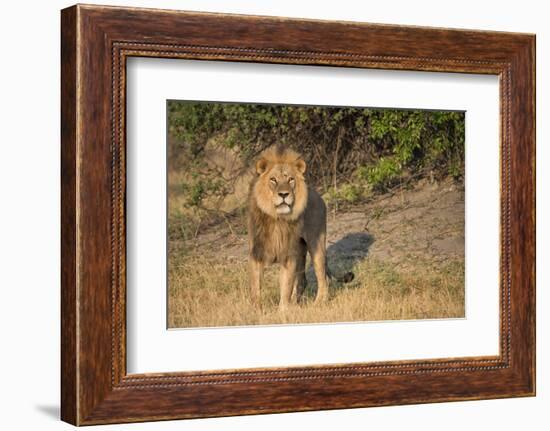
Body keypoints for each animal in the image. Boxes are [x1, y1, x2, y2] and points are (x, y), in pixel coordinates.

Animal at [249, 147, 354, 308]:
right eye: (273, 180)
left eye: (290, 179)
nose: (284, 194)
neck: (277, 218)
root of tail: (317, 194)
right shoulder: (257, 252)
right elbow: (256, 287)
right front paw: (256, 310)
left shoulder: (288, 255)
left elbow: (285, 287)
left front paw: (283, 310)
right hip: (300, 249)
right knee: (302, 281)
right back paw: (296, 304)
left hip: (316, 244)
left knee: (323, 278)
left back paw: (318, 304)